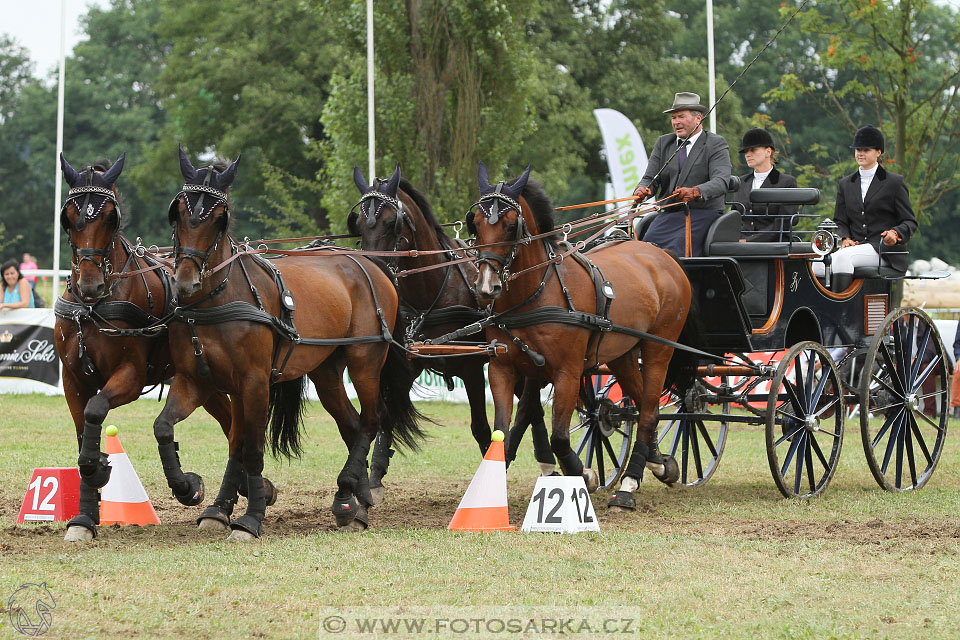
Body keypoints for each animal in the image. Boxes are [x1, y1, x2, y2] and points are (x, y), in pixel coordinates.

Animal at [55, 154, 258, 540]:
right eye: (68, 217)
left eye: (111, 217)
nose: (89, 284)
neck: (95, 307)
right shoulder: (72, 381)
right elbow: (81, 436)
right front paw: (84, 515)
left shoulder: (131, 377)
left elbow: (95, 410)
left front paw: (102, 467)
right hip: (206, 384)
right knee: (232, 428)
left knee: (236, 431)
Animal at [158, 148, 424, 536]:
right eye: (177, 212)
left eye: (220, 218)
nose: (185, 283)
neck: (216, 300)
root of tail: (373, 266)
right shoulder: (198, 382)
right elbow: (177, 430)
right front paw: (196, 492)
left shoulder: (255, 383)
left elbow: (252, 450)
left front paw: (250, 518)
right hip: (326, 372)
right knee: (352, 424)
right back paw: (355, 498)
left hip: (365, 359)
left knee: (373, 419)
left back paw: (351, 498)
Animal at [348, 166, 556, 496]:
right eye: (357, 224)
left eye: (392, 222)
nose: (374, 271)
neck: (434, 290)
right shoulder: (409, 362)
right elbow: (388, 416)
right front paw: (376, 474)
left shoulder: (471, 368)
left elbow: (481, 428)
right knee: (533, 406)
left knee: (530, 404)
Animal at [464, 164, 688, 510]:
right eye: (474, 223)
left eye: (511, 225)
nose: (486, 287)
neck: (535, 294)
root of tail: (663, 257)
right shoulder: (504, 368)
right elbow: (502, 431)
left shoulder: (567, 372)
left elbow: (558, 436)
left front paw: (584, 473)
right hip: (622, 354)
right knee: (644, 406)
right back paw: (658, 463)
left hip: (658, 348)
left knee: (650, 410)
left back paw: (628, 484)